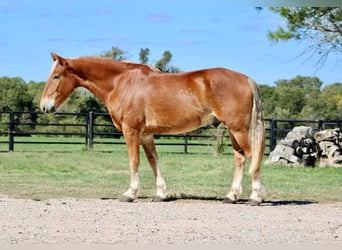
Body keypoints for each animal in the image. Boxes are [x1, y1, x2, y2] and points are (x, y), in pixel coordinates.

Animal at [39, 53, 264, 205]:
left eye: (57, 76)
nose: (44, 107)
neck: (121, 82)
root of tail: (247, 79)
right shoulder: (146, 135)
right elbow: (153, 161)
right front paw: (160, 194)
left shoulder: (131, 131)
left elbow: (134, 161)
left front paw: (130, 194)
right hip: (233, 130)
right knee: (240, 158)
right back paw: (231, 196)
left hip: (239, 130)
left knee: (252, 157)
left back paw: (255, 197)